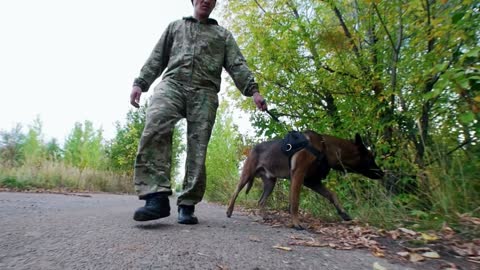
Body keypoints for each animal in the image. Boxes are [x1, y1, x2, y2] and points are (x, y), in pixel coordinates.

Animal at [226, 130, 386, 229]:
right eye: (371, 158)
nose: (382, 173)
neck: (325, 147)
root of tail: (253, 148)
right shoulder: (299, 175)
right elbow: (295, 202)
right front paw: (296, 223)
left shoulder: (312, 181)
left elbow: (332, 194)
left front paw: (343, 212)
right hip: (246, 175)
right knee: (235, 192)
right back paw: (229, 211)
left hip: (271, 183)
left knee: (261, 201)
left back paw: (264, 216)